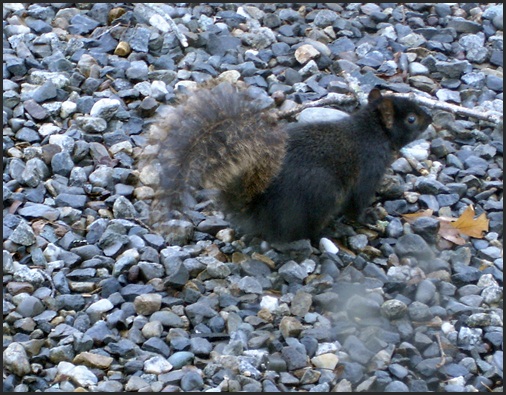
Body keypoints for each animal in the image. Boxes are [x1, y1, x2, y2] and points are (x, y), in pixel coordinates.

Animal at [140, 82, 432, 243]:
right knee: (308, 232)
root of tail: (256, 211)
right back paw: (331, 233)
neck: (373, 131)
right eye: (411, 120)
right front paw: (369, 216)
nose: (430, 118)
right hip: (322, 192)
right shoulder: (369, 170)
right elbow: (359, 202)